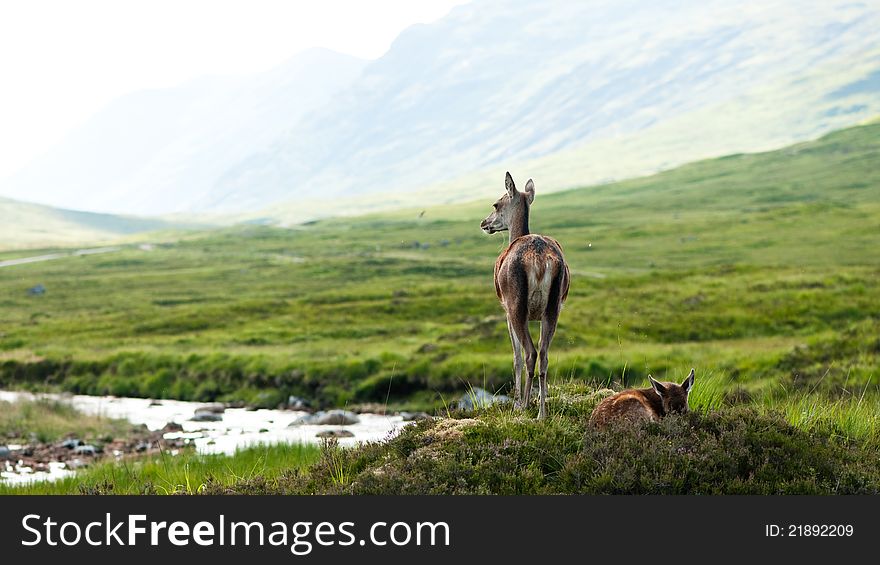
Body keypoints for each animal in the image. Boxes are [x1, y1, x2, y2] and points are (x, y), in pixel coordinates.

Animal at [482, 172, 572, 418]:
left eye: (496, 204)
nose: (484, 223)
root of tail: (540, 260)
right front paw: (541, 396)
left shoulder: (505, 310)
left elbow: (516, 357)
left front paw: (516, 402)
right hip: (554, 306)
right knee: (544, 353)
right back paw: (542, 413)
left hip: (516, 304)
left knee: (530, 353)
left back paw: (524, 406)